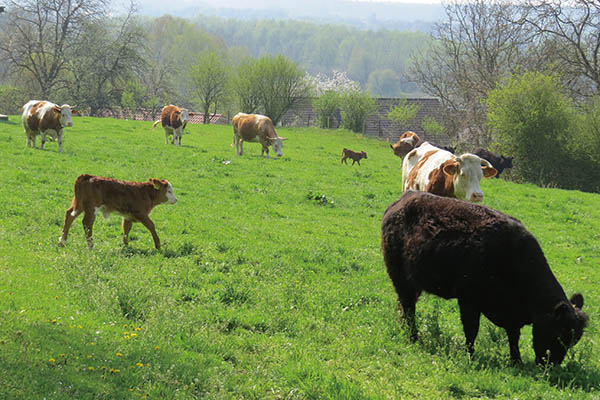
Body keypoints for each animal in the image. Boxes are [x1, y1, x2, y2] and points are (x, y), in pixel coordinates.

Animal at [382, 191, 588, 366]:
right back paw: (413, 337)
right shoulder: (469, 300)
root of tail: (405, 198)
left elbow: (513, 336)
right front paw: (470, 356)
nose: (551, 365)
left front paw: (517, 361)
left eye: (574, 340)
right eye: (559, 335)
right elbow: (471, 330)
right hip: (400, 279)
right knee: (408, 308)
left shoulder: (511, 314)